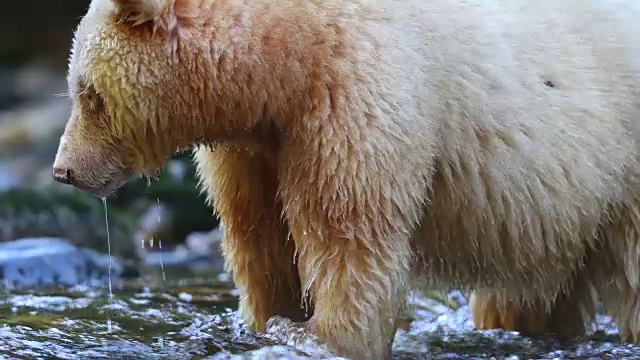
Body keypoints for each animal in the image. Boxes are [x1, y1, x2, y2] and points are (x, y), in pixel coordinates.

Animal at [52, 0, 640, 358]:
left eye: (89, 93)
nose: (64, 170)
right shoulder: (256, 147)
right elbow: (260, 237)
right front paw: (271, 319)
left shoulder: (354, 90)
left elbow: (350, 230)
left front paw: (323, 336)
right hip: (556, 219)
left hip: (622, 171)